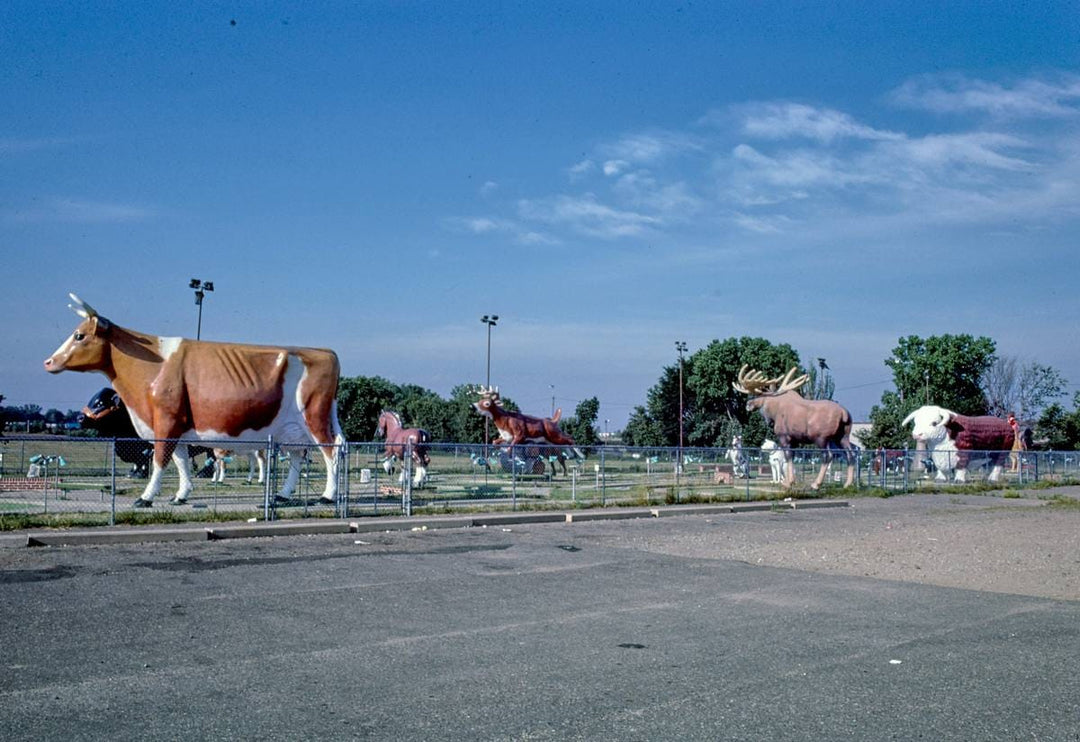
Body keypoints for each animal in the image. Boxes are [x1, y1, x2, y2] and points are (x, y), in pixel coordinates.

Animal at [45, 293, 341, 507]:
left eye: (79, 335)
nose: (49, 361)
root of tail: (325, 352)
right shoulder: (175, 426)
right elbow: (180, 461)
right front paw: (180, 495)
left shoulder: (166, 420)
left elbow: (160, 460)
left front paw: (146, 497)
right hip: (292, 429)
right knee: (298, 457)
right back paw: (282, 495)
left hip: (314, 416)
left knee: (331, 451)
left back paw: (327, 496)